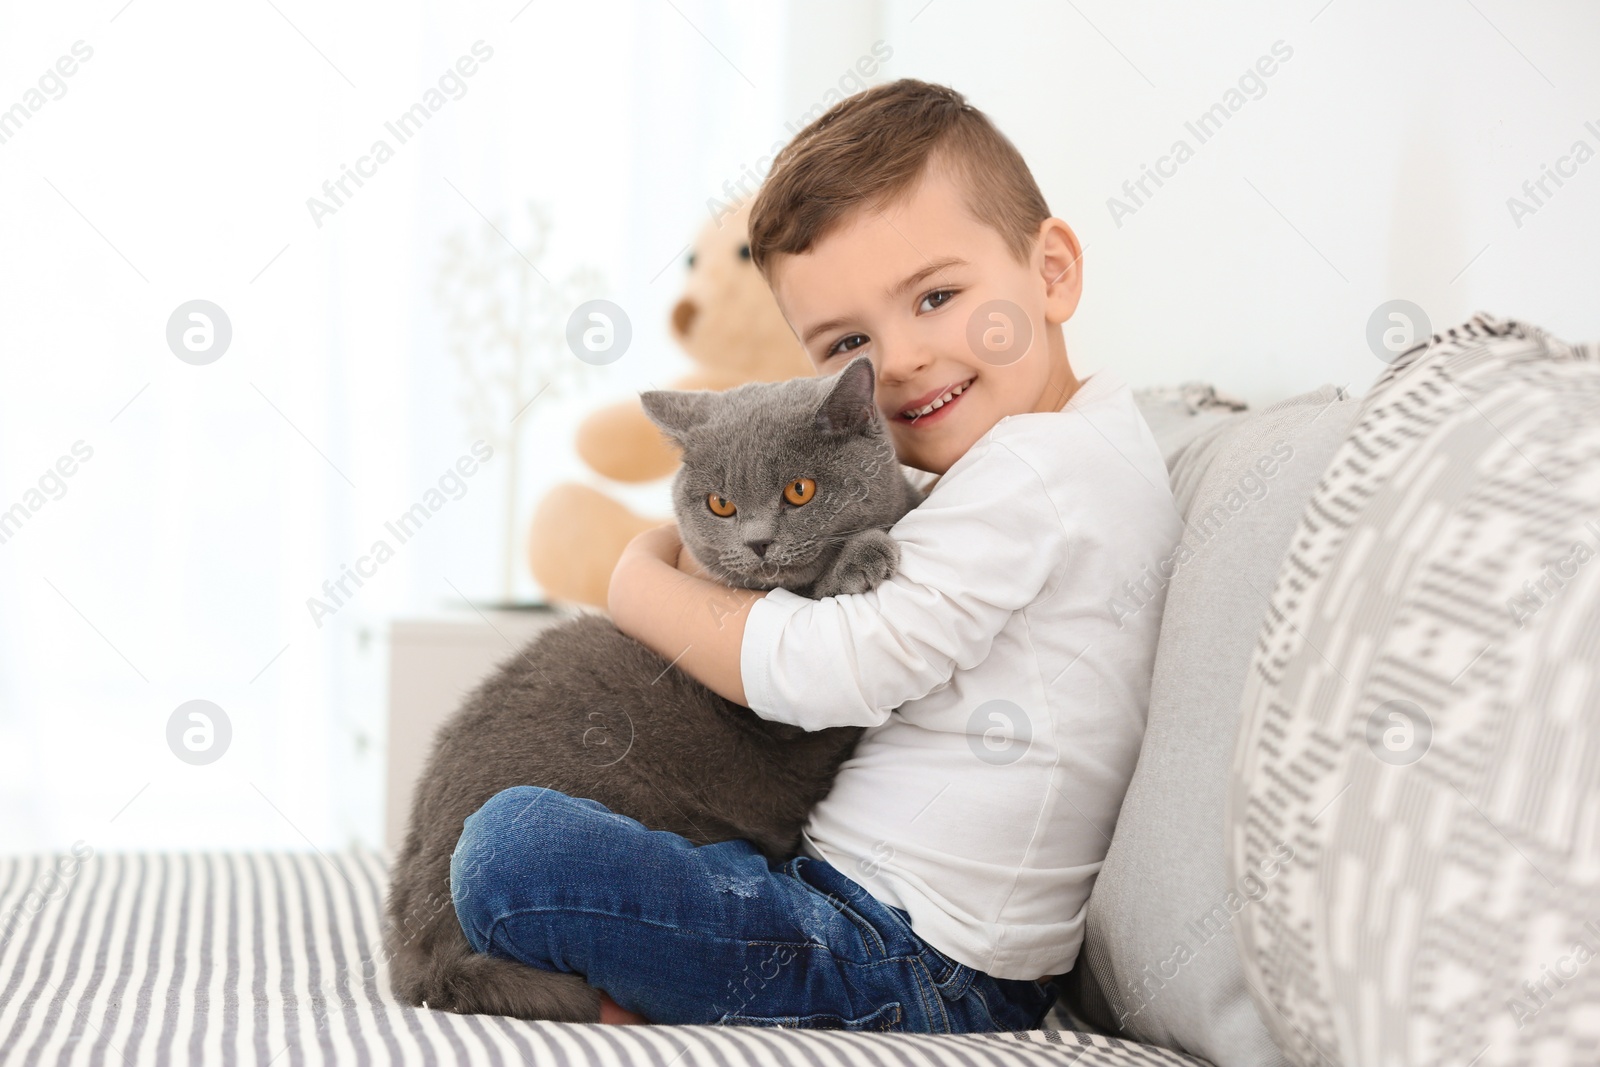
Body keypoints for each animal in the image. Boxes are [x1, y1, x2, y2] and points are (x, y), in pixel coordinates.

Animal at [385, 355, 928, 1023]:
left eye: (799, 490)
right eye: (721, 504)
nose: (757, 542)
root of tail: (411, 956)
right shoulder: (780, 709)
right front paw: (863, 557)